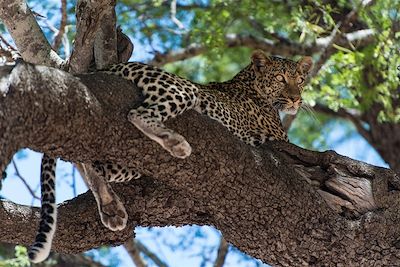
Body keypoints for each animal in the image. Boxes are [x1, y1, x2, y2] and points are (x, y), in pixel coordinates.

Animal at [26, 50, 312, 264]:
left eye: (300, 79)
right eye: (280, 78)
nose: (295, 99)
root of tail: (108, 68)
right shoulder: (280, 140)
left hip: (129, 159)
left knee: (90, 161)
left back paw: (110, 207)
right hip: (180, 90)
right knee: (138, 115)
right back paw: (176, 143)